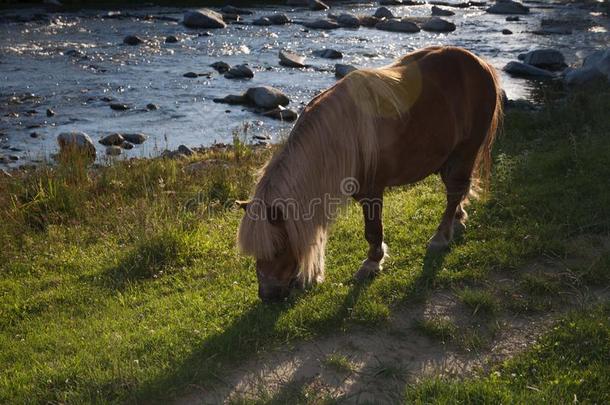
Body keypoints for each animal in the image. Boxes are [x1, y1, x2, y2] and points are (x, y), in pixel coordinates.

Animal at [235, 46, 502, 300]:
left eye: (278, 248)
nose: (268, 296)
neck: (341, 137)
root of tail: (481, 63)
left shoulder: (372, 192)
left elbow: (373, 230)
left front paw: (372, 263)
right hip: (450, 158)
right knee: (457, 189)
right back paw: (458, 218)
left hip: (466, 150)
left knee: (454, 191)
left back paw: (441, 236)